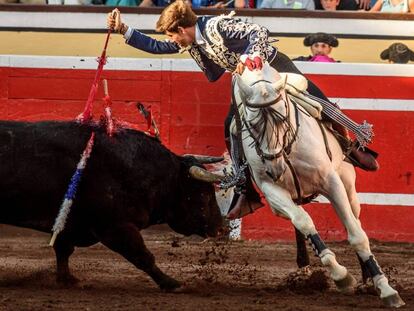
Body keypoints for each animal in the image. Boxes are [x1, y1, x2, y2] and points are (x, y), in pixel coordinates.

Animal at [0, 120, 223, 292]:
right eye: (203, 194)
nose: (221, 228)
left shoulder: (68, 225)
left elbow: (63, 250)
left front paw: (68, 280)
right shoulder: (115, 227)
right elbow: (143, 256)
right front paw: (172, 283)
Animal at [231, 63, 406, 310]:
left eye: (282, 118)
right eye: (252, 125)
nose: (275, 168)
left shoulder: (331, 182)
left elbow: (357, 235)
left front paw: (385, 288)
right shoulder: (271, 189)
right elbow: (303, 222)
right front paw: (341, 276)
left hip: (348, 184)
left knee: (356, 220)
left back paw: (367, 280)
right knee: (298, 220)